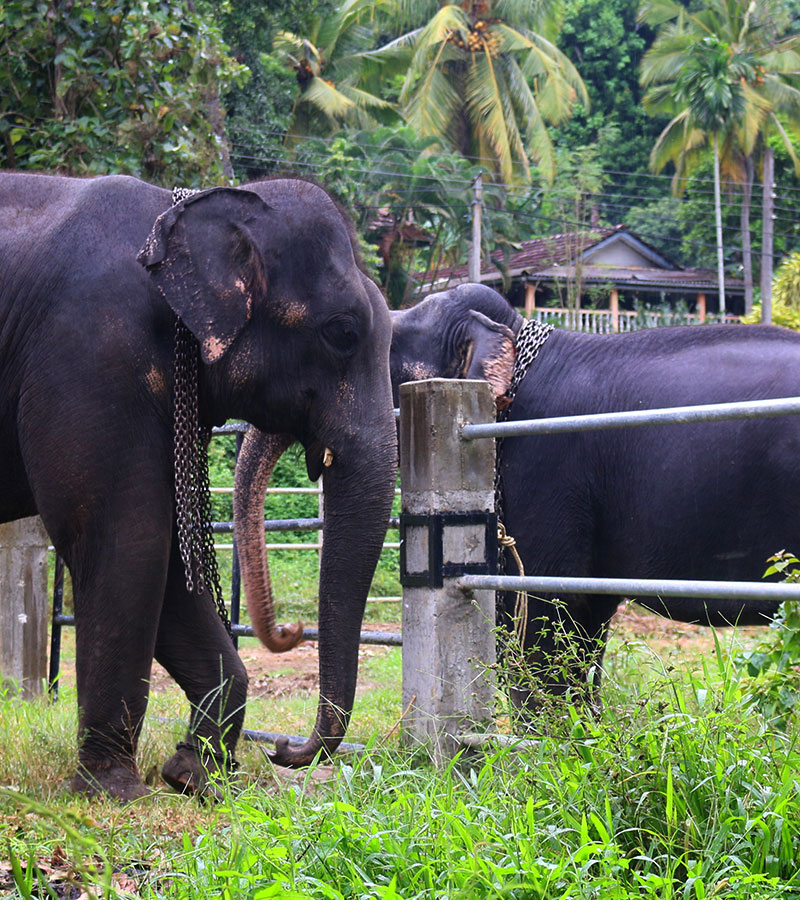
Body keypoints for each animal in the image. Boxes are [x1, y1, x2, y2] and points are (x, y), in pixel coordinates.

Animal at [0, 172, 397, 801]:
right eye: (342, 332)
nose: (284, 750)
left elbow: (166, 559)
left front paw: (192, 777)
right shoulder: (90, 354)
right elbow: (128, 538)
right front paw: (116, 794)